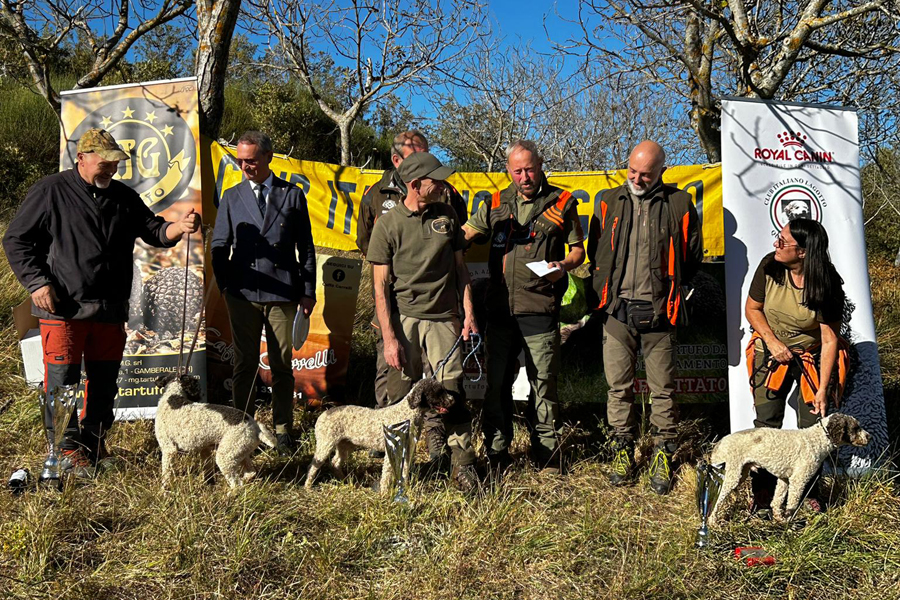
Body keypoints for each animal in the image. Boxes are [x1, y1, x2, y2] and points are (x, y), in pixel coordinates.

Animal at [305, 378, 455, 493]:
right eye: (438, 392)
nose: (452, 400)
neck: (407, 414)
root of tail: (325, 413)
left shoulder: (407, 450)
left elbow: (404, 471)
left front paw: (404, 489)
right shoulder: (392, 449)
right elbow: (387, 474)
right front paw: (384, 493)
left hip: (345, 445)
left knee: (335, 462)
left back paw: (346, 481)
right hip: (325, 444)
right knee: (313, 465)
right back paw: (308, 487)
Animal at [708, 413, 870, 524]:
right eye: (856, 428)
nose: (870, 436)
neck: (816, 439)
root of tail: (719, 444)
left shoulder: (784, 479)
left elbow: (777, 501)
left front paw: (780, 519)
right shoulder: (798, 480)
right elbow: (792, 504)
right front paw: (789, 524)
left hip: (741, 473)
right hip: (732, 475)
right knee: (717, 499)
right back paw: (713, 522)